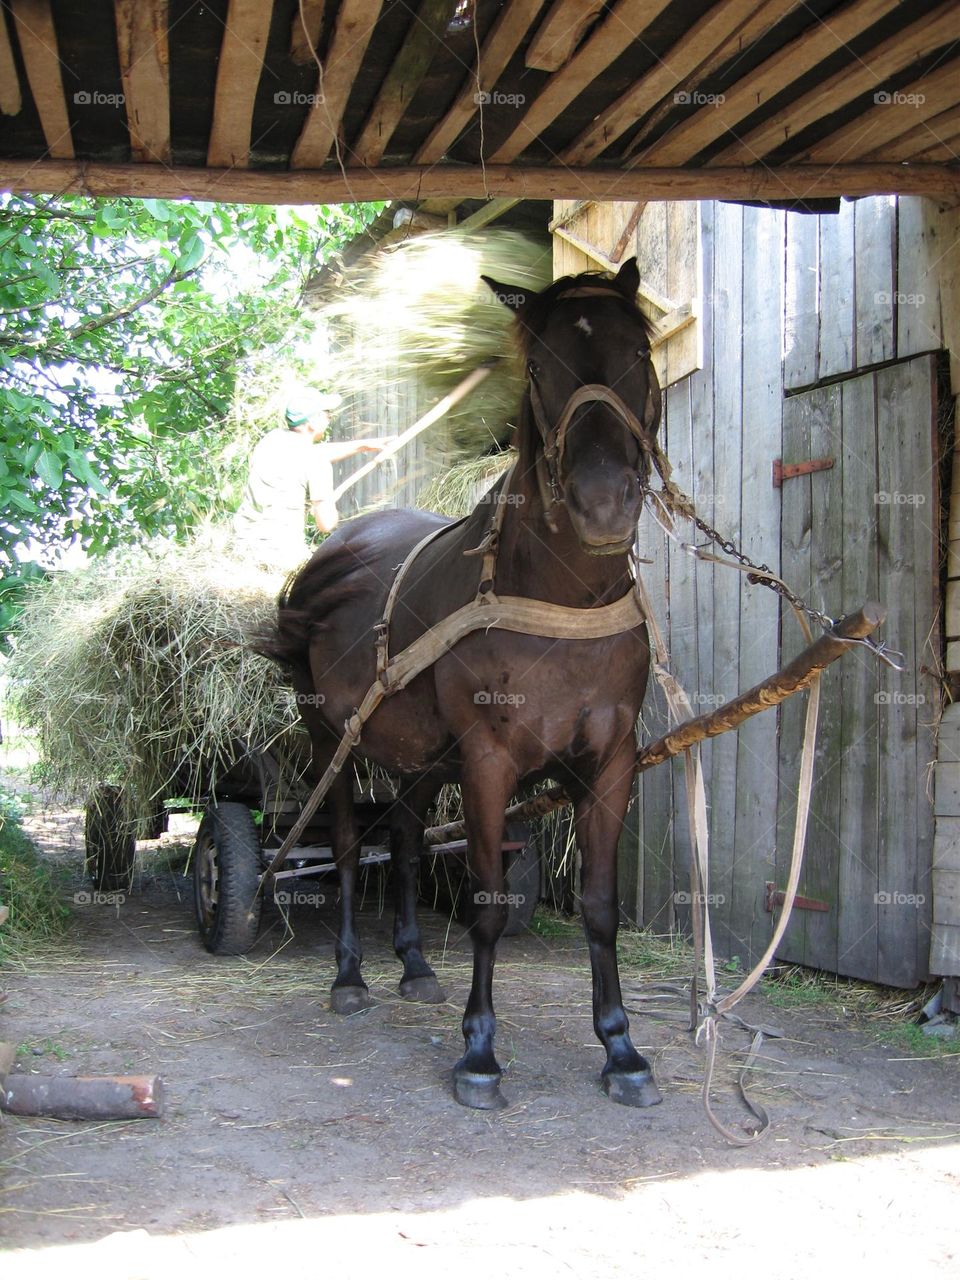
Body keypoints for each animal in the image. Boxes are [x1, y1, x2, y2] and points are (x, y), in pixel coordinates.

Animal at [260, 257, 663, 1111]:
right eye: (539, 367)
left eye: (640, 354)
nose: (604, 505)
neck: (557, 600)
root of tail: (333, 551)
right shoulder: (487, 762)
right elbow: (483, 903)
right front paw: (479, 1054)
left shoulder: (610, 762)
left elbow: (600, 906)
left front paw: (621, 1049)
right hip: (332, 742)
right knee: (348, 849)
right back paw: (350, 977)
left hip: (417, 760)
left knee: (406, 846)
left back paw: (413, 965)